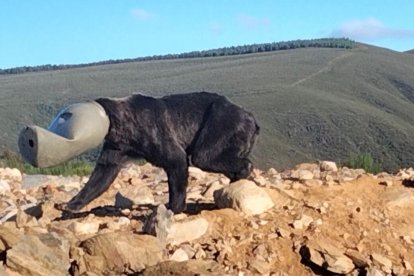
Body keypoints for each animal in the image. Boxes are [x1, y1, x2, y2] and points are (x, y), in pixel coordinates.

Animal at [64, 91, 258, 212]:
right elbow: (101, 175)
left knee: (205, 156)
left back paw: (242, 173)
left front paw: (175, 206)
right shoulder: (116, 148)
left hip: (221, 122)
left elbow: (176, 161)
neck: (123, 128)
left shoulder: (152, 131)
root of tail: (251, 117)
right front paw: (72, 204)